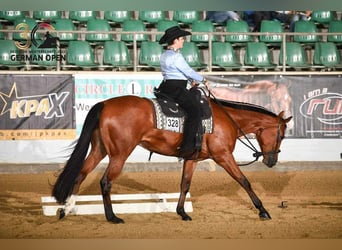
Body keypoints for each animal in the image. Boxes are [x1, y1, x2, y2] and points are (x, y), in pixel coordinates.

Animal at [52, 93, 292, 224]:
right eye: (281, 135)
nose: (271, 161)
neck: (227, 118)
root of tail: (105, 104)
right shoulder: (223, 156)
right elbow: (244, 181)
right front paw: (263, 211)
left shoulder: (192, 159)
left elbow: (185, 184)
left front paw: (182, 212)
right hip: (119, 154)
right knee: (105, 182)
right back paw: (112, 217)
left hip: (99, 150)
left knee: (80, 174)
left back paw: (67, 209)